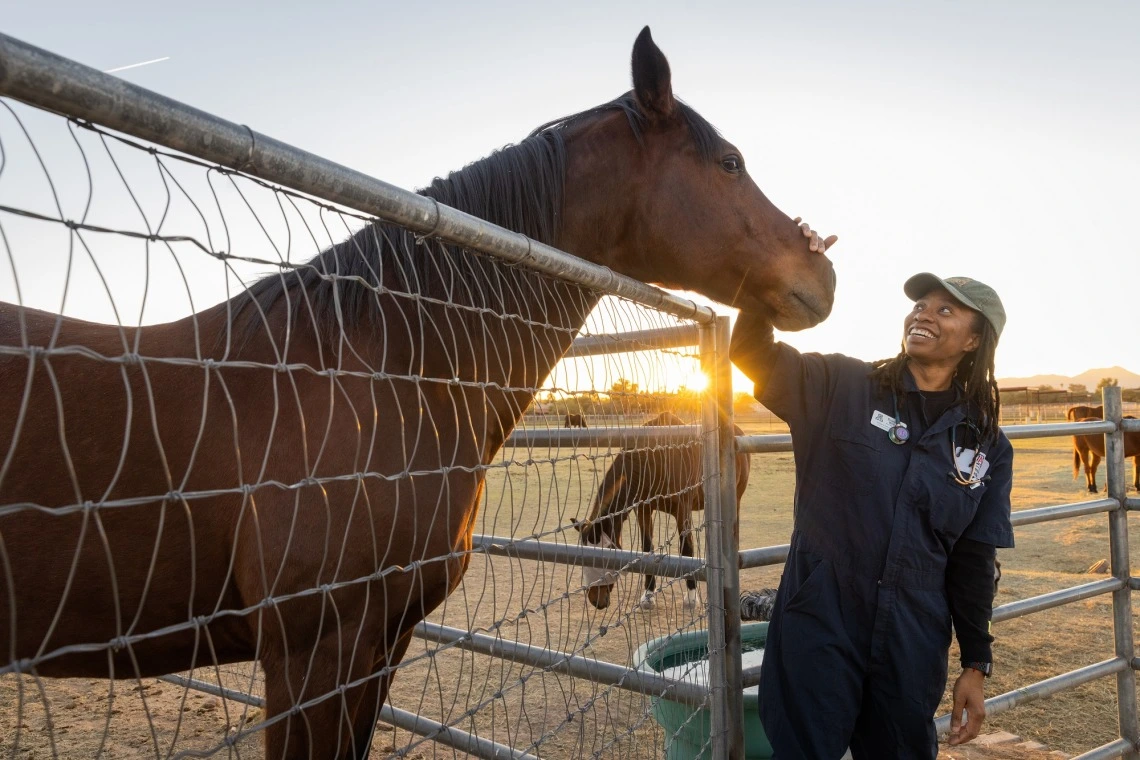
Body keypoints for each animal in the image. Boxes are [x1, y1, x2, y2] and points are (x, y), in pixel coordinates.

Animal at [574, 412, 752, 610]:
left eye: (605, 554)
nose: (595, 599)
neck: (655, 459)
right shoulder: (643, 509)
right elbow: (647, 548)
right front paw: (648, 595)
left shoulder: (682, 510)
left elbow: (686, 548)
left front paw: (692, 597)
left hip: (736, 498)